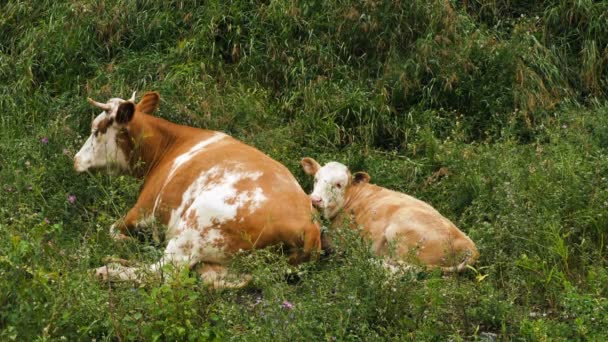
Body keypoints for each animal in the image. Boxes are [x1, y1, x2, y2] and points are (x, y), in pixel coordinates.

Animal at [73, 92, 320, 288]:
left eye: (96, 130)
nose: (75, 159)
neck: (168, 147)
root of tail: (308, 224)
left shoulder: (142, 209)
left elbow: (113, 231)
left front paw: (130, 243)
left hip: (193, 226)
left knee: (163, 272)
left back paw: (107, 269)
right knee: (216, 279)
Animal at [300, 158, 480, 272]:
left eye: (338, 184)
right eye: (316, 179)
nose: (315, 200)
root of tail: (469, 245)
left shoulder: (338, 240)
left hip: (398, 233)